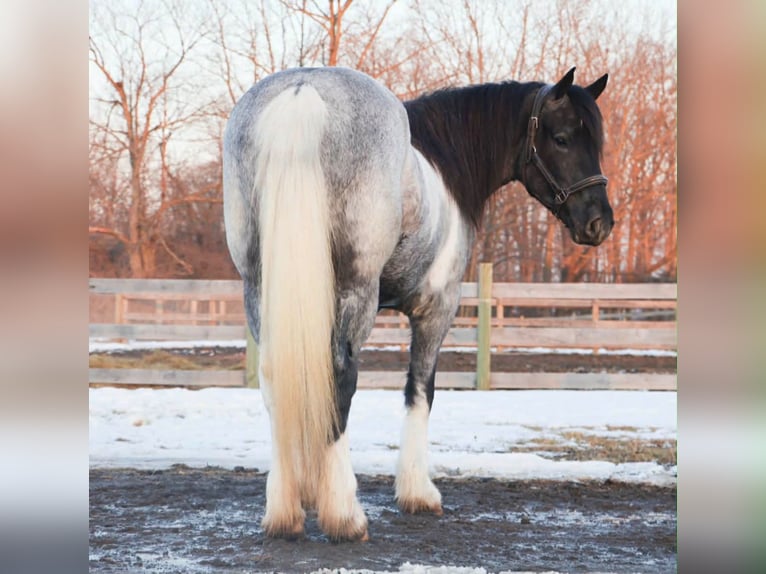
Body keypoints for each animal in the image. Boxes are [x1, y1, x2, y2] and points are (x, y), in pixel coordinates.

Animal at [223, 66, 613, 542]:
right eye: (561, 138)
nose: (599, 222)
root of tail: (304, 92)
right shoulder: (437, 309)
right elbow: (420, 390)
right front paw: (418, 493)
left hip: (259, 288)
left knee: (276, 379)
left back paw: (284, 512)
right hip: (355, 291)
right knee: (341, 377)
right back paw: (345, 515)